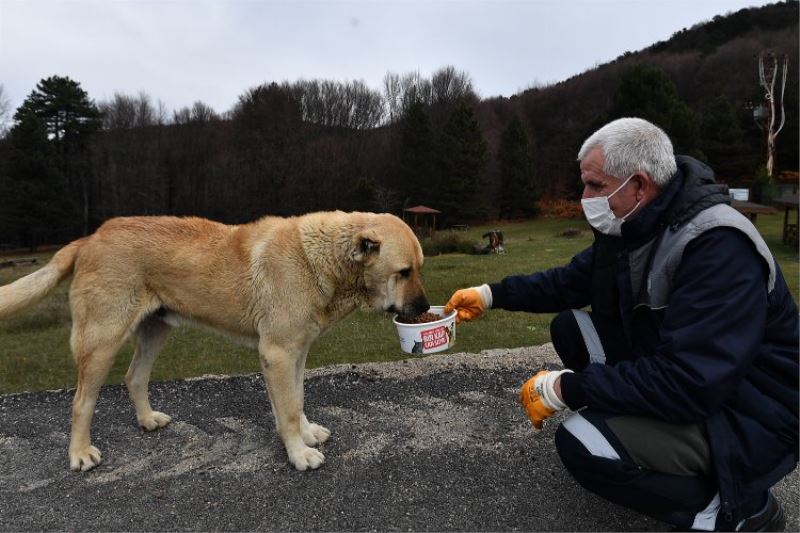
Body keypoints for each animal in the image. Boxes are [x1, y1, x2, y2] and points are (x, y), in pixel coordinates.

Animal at [0, 210, 432, 472]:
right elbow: (288, 411)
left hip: (155, 332)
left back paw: (147, 421)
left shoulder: (297, 352)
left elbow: (296, 400)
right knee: (81, 402)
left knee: (133, 378)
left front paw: (306, 436)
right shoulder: (277, 353)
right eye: (403, 272)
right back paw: (79, 453)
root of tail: (89, 238)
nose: (425, 307)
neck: (320, 259)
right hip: (102, 340)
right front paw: (299, 453)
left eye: (418, 269)